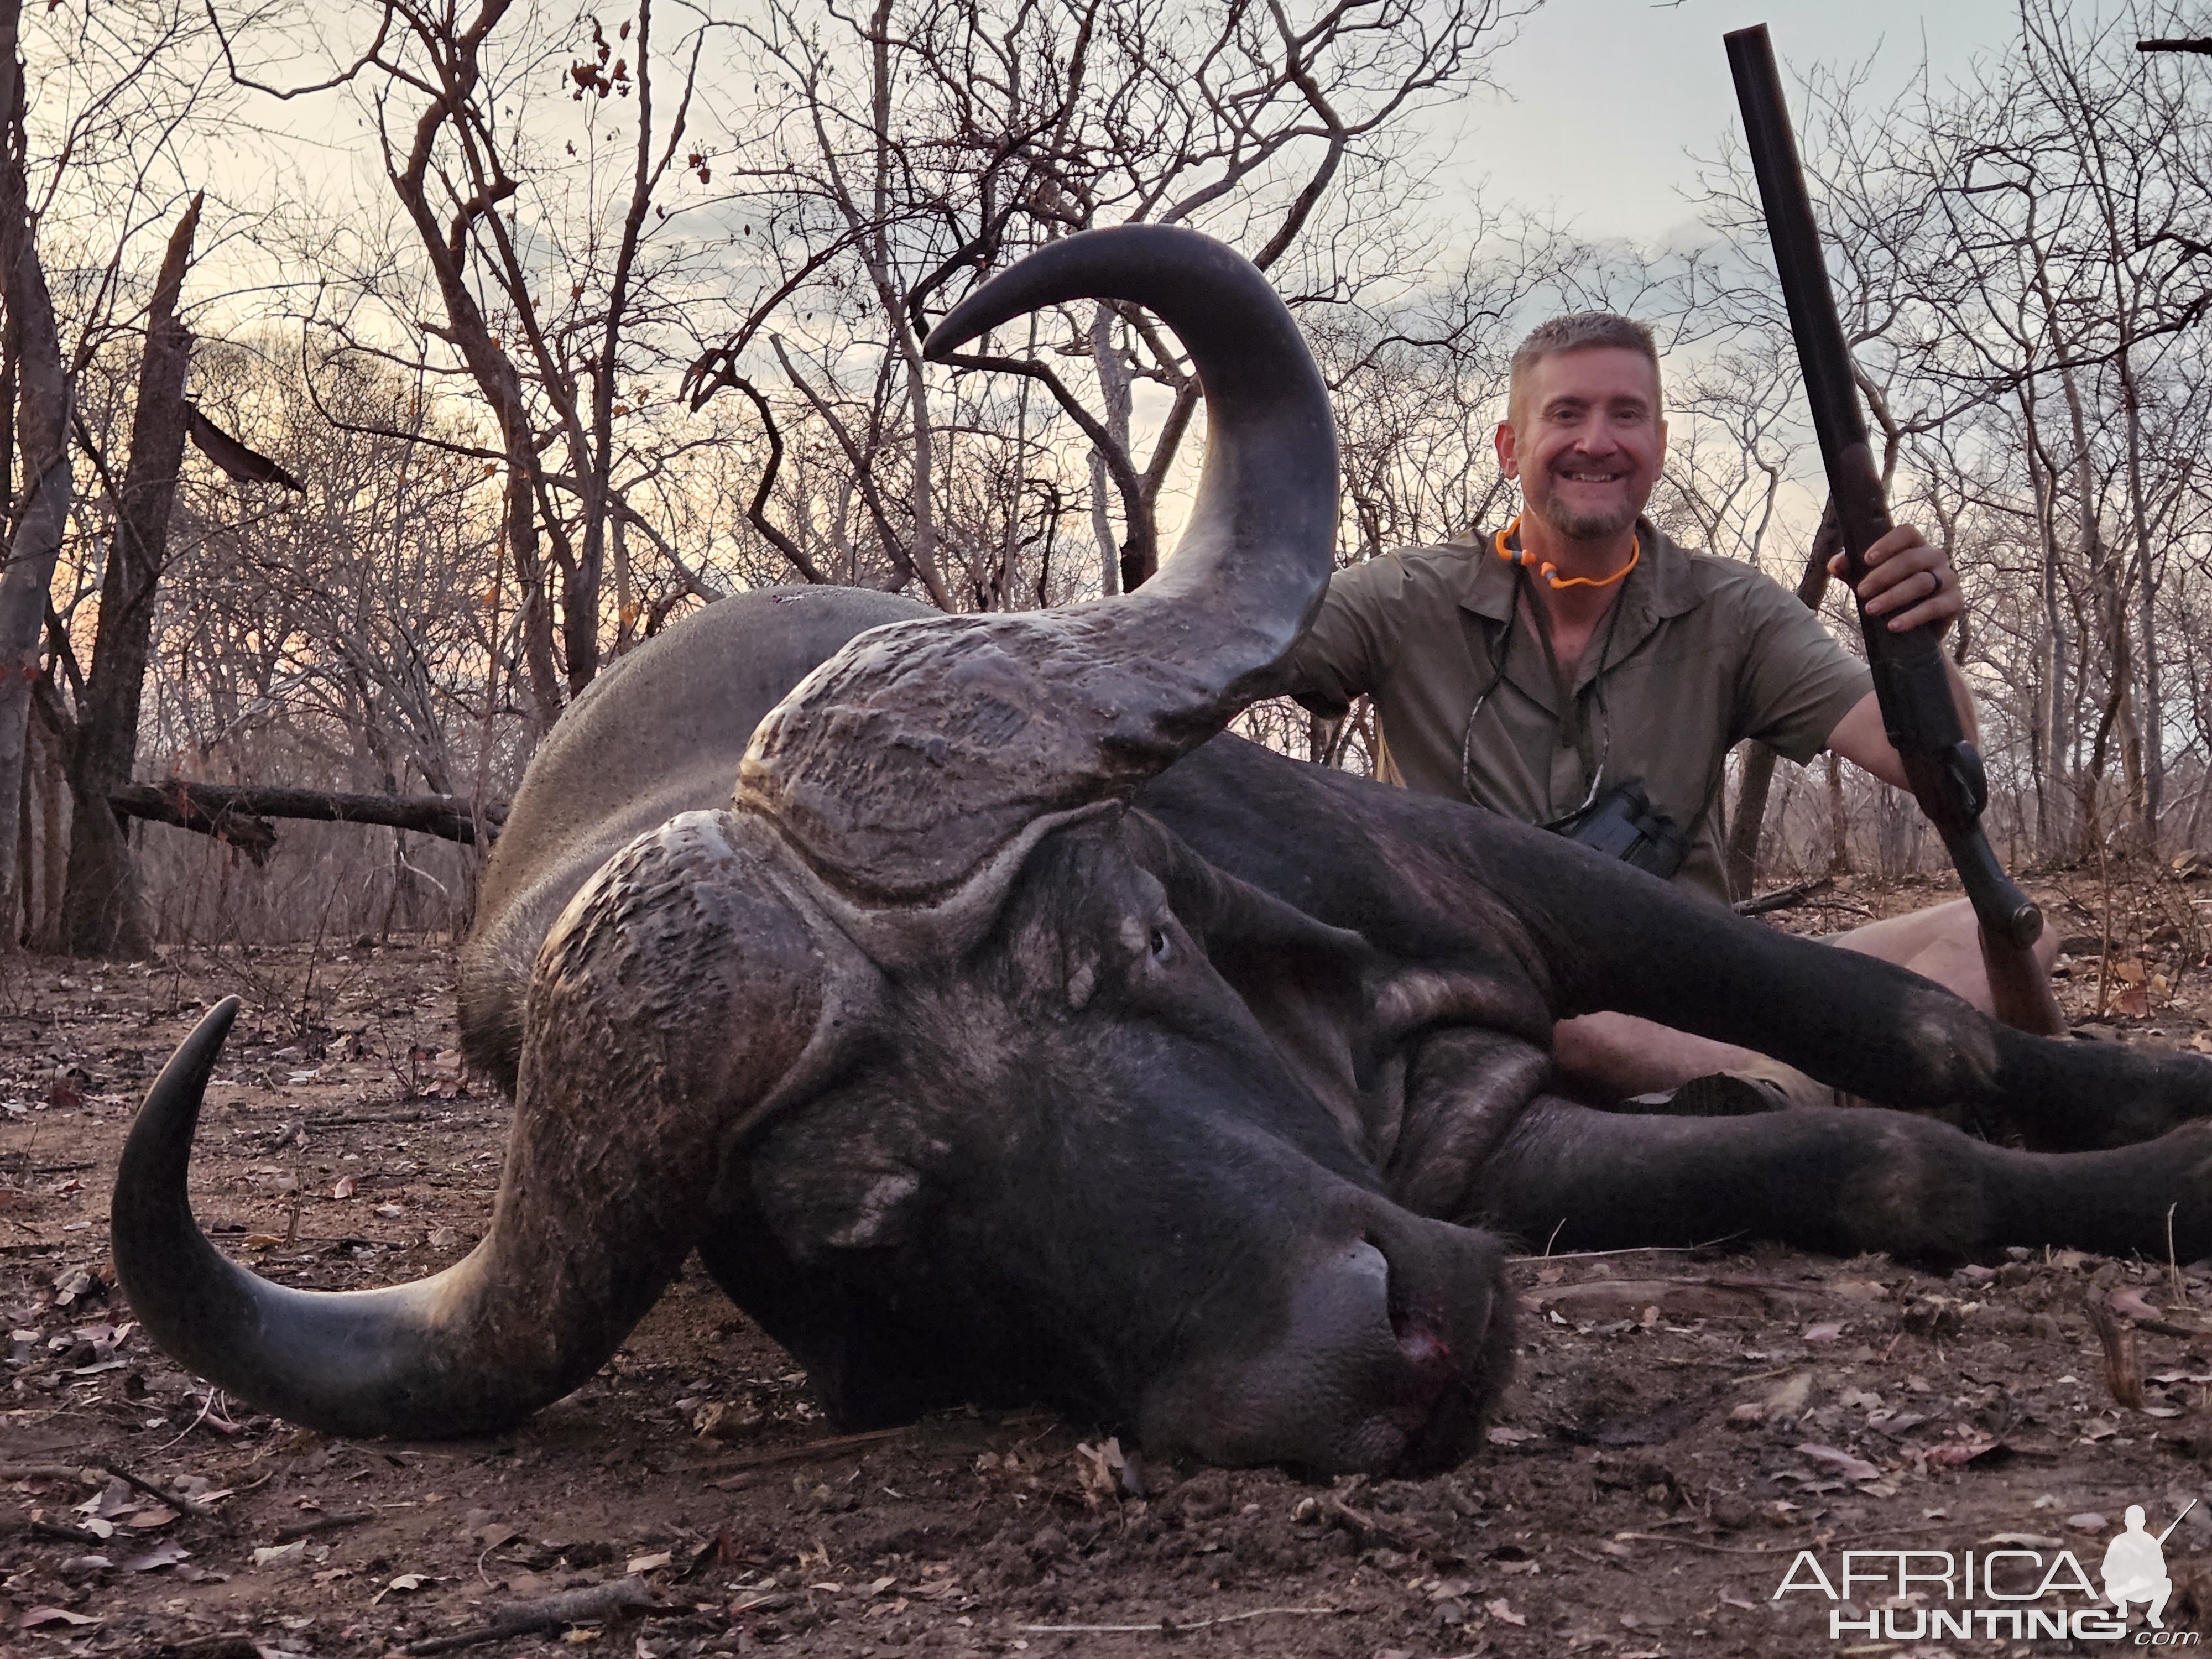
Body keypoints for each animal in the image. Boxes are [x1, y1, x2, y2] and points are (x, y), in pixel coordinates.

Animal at [112, 225, 2212, 1478]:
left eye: (1121, 943)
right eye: (861, 1221)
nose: (1381, 1349)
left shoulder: (1524, 896)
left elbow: (1924, 1041)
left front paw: (2173, 1122)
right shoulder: (1486, 1155)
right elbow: (1879, 1165)